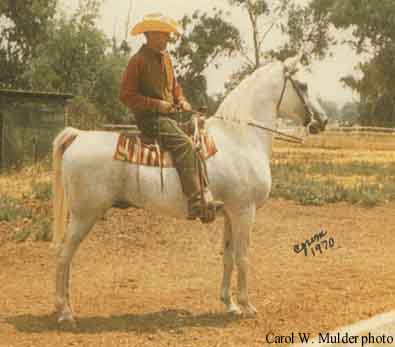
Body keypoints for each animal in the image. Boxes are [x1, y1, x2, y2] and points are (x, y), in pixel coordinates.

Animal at [51, 55, 328, 326]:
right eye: (303, 85)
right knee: (64, 255)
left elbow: (228, 256)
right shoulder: (244, 212)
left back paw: (65, 307)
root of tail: (78, 136)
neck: (240, 138)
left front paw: (230, 304)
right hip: (84, 215)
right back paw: (64, 312)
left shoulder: (230, 214)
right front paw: (247, 306)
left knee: (66, 257)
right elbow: (243, 257)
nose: (323, 120)